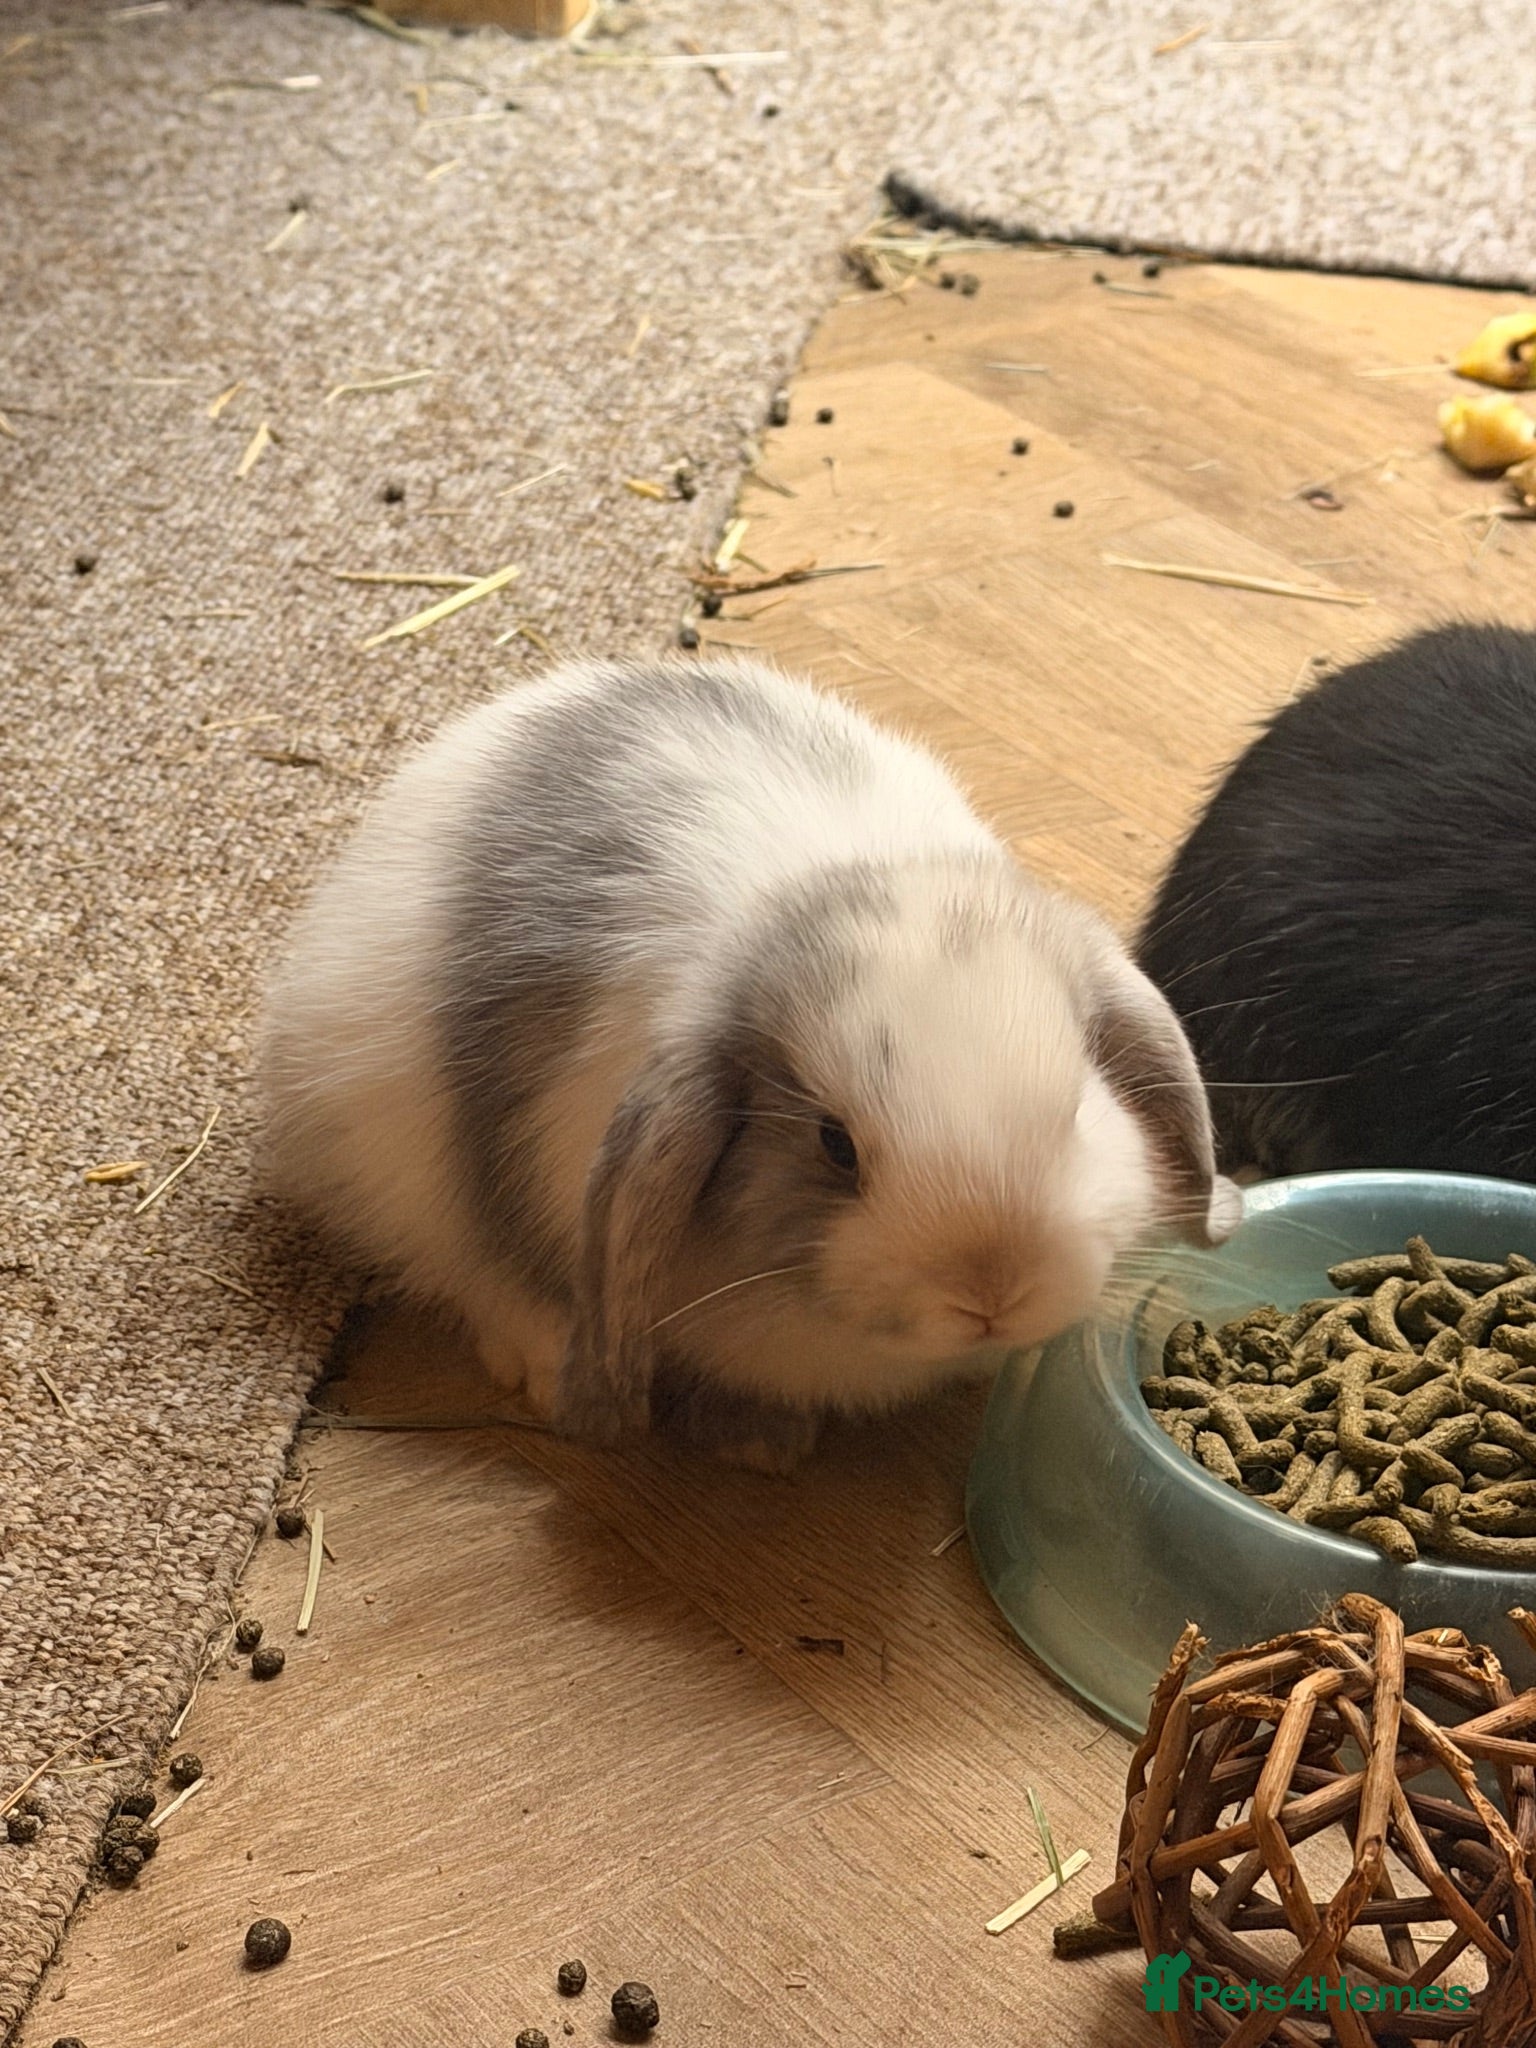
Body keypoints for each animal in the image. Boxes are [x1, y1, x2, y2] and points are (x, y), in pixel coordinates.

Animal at [261, 654, 1239, 1468]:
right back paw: (537, 1352)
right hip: (392, 1164)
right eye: (834, 1145)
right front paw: (760, 1445)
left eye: (1077, 1110)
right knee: (465, 1264)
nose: (991, 1291)